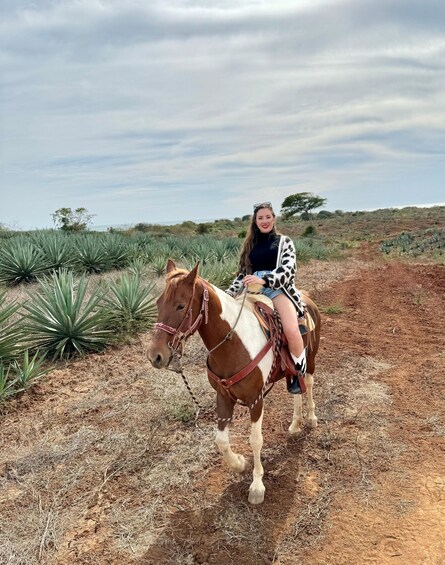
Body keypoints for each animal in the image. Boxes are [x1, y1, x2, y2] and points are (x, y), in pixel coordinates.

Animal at [147, 258, 320, 502]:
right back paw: (295, 424)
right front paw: (239, 463)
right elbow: (220, 440)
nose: (155, 356)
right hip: (291, 371)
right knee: (297, 388)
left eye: (181, 306)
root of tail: (306, 298)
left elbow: (255, 440)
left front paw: (257, 485)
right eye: (158, 303)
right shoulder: (223, 396)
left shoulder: (256, 399)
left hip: (310, 358)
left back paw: (311, 418)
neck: (233, 343)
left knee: (310, 383)